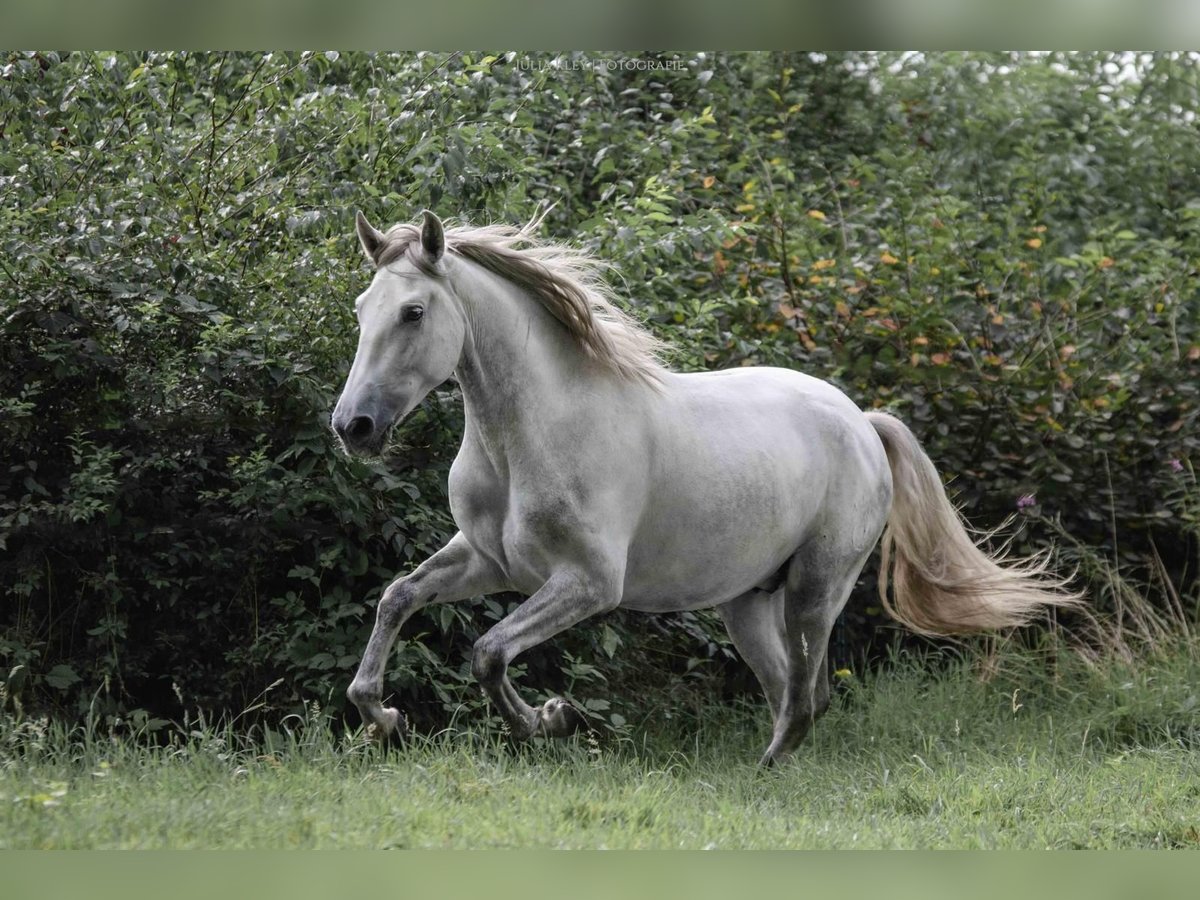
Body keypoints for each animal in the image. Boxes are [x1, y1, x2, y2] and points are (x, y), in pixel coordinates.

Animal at [333, 211, 1084, 768]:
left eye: (413, 312)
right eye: (362, 309)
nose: (353, 426)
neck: (531, 436)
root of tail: (861, 420)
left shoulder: (587, 584)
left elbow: (488, 652)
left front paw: (550, 718)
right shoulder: (488, 562)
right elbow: (397, 598)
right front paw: (382, 717)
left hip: (816, 589)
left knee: (806, 698)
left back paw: (764, 772)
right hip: (746, 604)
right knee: (791, 691)